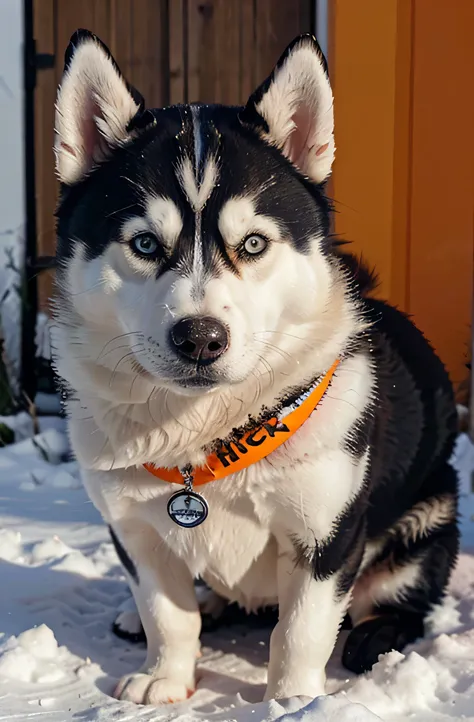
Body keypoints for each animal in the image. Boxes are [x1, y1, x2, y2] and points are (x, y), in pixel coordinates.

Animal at [52, 29, 460, 704]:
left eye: (252, 244)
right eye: (144, 244)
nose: (199, 339)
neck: (207, 438)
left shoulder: (328, 536)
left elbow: (300, 632)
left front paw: (292, 701)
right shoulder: (133, 529)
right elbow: (168, 614)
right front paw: (166, 676)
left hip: (429, 518)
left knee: (400, 602)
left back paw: (374, 636)